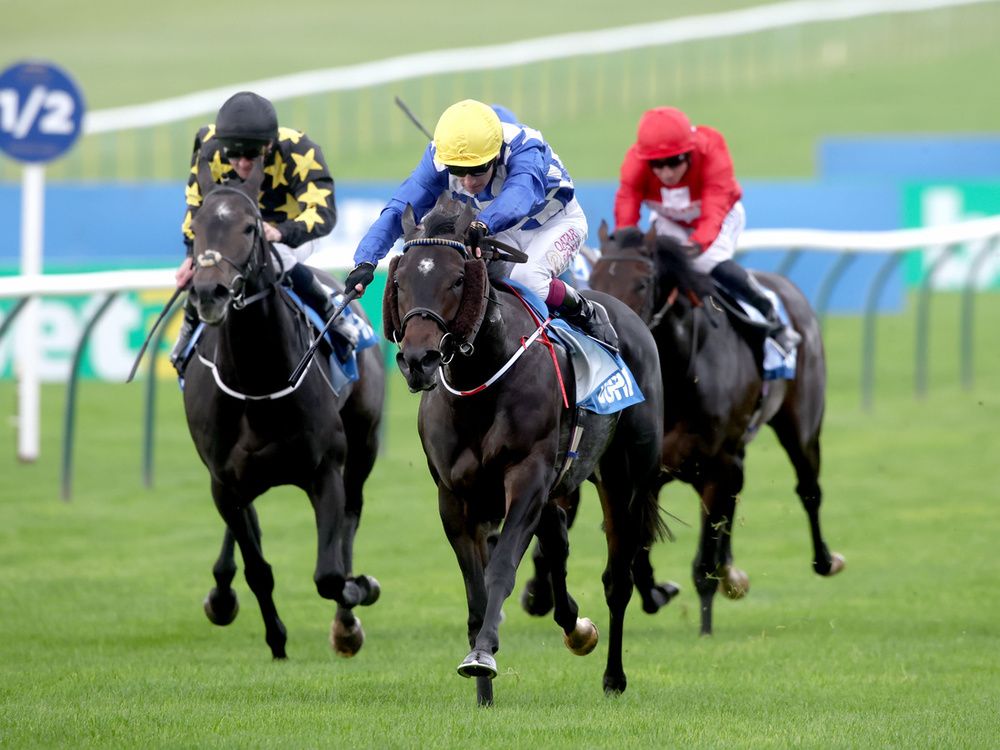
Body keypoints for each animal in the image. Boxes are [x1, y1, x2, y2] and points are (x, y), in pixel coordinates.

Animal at [180, 157, 382, 656]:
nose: (208, 293)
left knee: (352, 516)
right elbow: (258, 568)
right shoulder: (223, 481)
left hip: (364, 442)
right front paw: (276, 639)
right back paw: (221, 594)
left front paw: (358, 594)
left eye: (250, 227)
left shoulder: (326, 469)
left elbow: (330, 574)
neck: (258, 384)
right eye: (196, 227)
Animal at [386, 198, 668, 704]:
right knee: (557, 540)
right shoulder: (455, 498)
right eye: (399, 281)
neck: (482, 382)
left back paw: (613, 676)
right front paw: (482, 691)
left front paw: (482, 656)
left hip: (624, 479)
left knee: (618, 579)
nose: (418, 360)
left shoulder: (526, 477)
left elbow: (500, 570)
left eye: (457, 279)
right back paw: (575, 625)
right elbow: (476, 594)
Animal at [588, 226, 840, 636]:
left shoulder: (716, 464)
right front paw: (657, 592)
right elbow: (638, 555)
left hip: (800, 426)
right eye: (594, 279)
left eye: (642, 282)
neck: (679, 376)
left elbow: (703, 563)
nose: (615, 332)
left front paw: (705, 629)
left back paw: (824, 560)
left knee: (808, 489)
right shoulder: (649, 473)